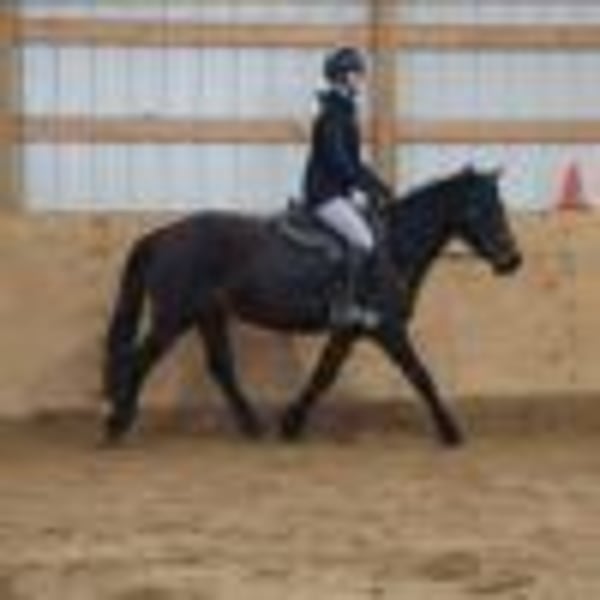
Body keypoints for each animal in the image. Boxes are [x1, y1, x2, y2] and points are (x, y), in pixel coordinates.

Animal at [103, 166, 522, 447]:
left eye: (500, 206)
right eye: (480, 209)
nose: (512, 260)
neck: (392, 247)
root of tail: (163, 235)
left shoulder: (349, 330)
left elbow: (324, 375)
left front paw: (291, 423)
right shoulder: (387, 329)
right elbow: (421, 375)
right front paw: (451, 432)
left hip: (208, 314)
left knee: (220, 367)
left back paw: (253, 426)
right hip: (173, 317)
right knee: (138, 361)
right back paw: (117, 425)